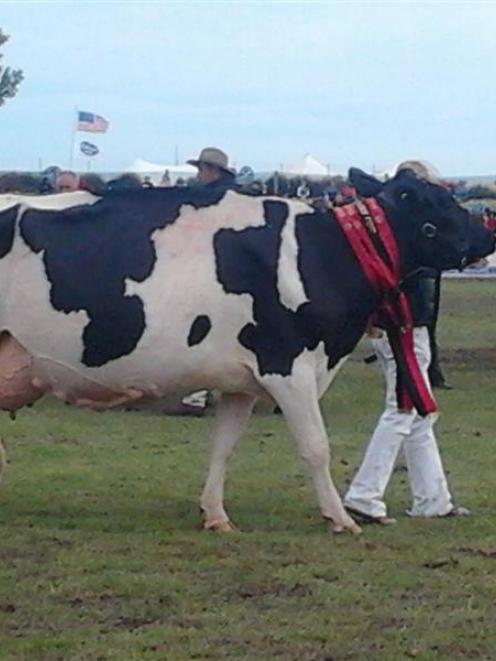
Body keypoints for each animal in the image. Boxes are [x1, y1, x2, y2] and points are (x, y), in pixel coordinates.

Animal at [0, 168, 494, 532]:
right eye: (431, 201)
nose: (487, 234)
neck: (322, 253)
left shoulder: (243, 380)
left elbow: (224, 446)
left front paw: (216, 515)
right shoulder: (288, 366)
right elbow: (316, 446)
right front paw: (340, 518)